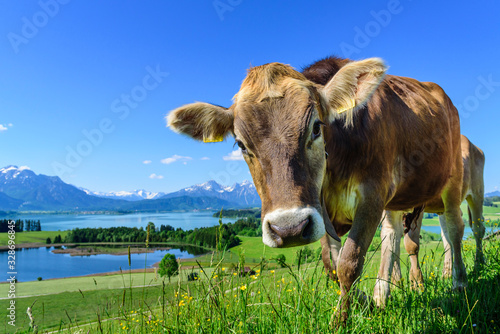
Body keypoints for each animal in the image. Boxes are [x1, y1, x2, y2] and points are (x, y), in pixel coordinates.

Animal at [167, 56, 464, 320]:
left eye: (316, 127)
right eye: (240, 144)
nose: (288, 229)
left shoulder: (372, 195)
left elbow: (349, 264)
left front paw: (340, 321)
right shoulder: (320, 209)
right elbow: (331, 265)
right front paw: (368, 303)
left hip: (452, 181)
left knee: (454, 230)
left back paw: (459, 285)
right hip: (396, 201)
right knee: (392, 237)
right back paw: (384, 294)